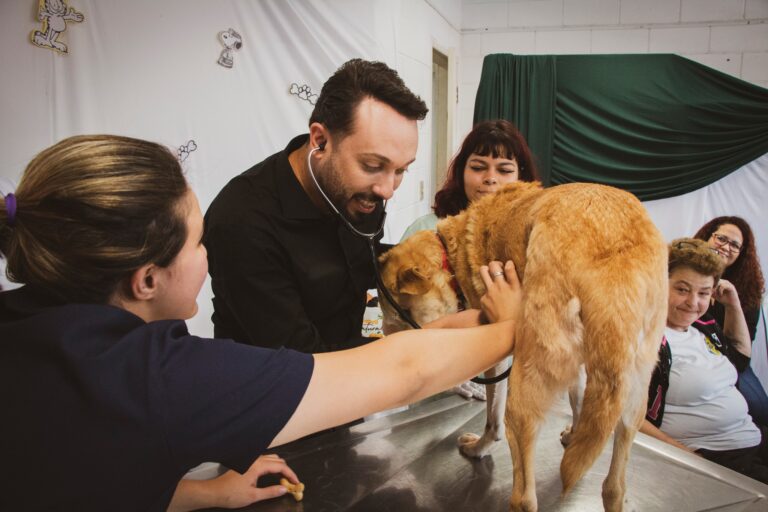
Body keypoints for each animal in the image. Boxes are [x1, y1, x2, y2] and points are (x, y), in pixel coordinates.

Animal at [380, 182, 668, 512]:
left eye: (402, 316)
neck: (451, 254)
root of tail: (613, 244)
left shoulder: (498, 359)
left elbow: (492, 421)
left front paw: (479, 448)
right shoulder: (579, 365)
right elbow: (579, 401)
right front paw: (575, 434)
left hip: (525, 386)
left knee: (525, 498)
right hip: (634, 393)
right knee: (613, 487)